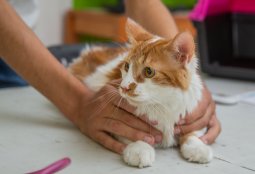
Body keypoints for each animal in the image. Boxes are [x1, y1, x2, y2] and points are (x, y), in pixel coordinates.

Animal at [68, 18, 213, 168]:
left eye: (149, 72)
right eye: (127, 66)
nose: (124, 87)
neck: (162, 104)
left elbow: (193, 131)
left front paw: (197, 146)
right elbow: (134, 134)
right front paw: (139, 147)